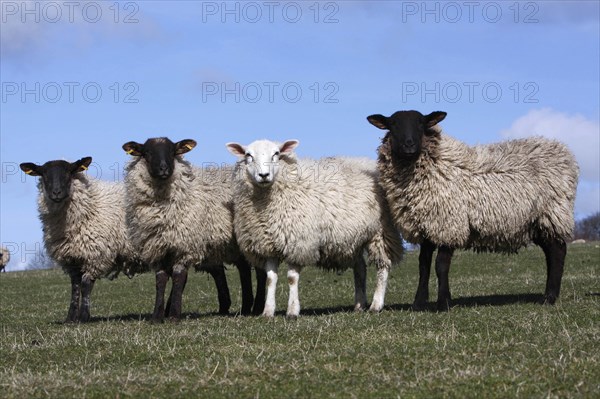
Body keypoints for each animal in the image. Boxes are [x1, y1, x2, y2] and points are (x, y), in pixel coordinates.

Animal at [19, 158, 142, 324]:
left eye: (69, 172)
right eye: (43, 174)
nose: (56, 193)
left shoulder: (95, 256)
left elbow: (85, 285)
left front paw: (84, 317)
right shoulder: (72, 259)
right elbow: (75, 287)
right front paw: (70, 318)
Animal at [122, 139, 264, 324]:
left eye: (172, 151)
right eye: (147, 152)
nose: (163, 169)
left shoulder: (185, 244)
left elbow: (178, 277)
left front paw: (173, 315)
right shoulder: (157, 247)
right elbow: (160, 280)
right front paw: (157, 316)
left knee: (260, 271)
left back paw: (258, 307)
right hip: (237, 245)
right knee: (244, 269)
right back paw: (246, 307)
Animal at [225, 139, 404, 318]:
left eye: (276, 154)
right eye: (248, 155)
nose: (264, 175)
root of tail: (368, 163)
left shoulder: (298, 243)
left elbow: (291, 278)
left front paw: (292, 311)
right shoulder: (267, 245)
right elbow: (270, 279)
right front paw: (268, 311)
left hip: (381, 231)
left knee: (383, 266)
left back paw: (376, 304)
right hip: (353, 238)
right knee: (360, 268)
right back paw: (359, 305)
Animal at [368, 110, 580, 312]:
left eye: (421, 123)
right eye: (393, 124)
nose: (409, 145)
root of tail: (564, 151)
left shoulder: (450, 224)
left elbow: (441, 265)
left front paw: (444, 303)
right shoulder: (427, 225)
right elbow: (424, 265)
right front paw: (419, 303)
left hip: (552, 212)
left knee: (558, 251)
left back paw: (549, 298)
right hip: (536, 222)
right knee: (551, 252)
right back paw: (549, 295)